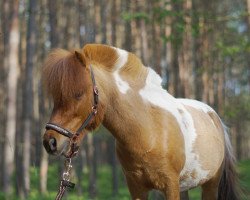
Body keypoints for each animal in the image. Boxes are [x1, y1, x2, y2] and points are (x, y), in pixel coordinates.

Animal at [42, 44, 239, 200]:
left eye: (78, 94)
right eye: (56, 98)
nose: (50, 142)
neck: (147, 133)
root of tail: (214, 117)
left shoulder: (170, 186)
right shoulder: (136, 187)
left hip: (210, 185)